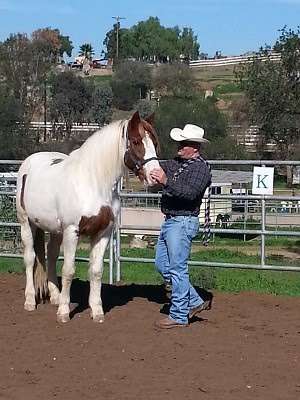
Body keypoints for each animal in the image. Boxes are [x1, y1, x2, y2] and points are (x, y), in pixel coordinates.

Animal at [15, 111, 161, 324]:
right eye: (135, 141)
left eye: (155, 143)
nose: (157, 177)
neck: (93, 182)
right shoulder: (72, 231)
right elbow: (69, 270)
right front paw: (64, 313)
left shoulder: (103, 233)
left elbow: (96, 271)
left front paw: (97, 311)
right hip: (26, 223)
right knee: (29, 258)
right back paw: (30, 301)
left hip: (55, 230)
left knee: (51, 255)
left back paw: (55, 296)